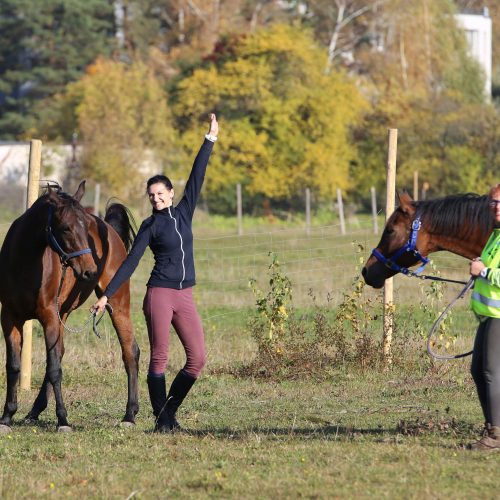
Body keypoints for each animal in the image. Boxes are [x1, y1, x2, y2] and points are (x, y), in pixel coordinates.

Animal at [0, 182, 140, 432]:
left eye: (86, 227)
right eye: (66, 228)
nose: (90, 271)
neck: (23, 263)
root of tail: (110, 230)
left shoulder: (48, 317)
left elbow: (55, 369)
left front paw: (63, 420)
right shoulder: (9, 317)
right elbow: (14, 366)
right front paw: (7, 416)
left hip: (117, 305)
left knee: (130, 352)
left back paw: (129, 415)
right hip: (62, 314)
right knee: (58, 353)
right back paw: (34, 412)